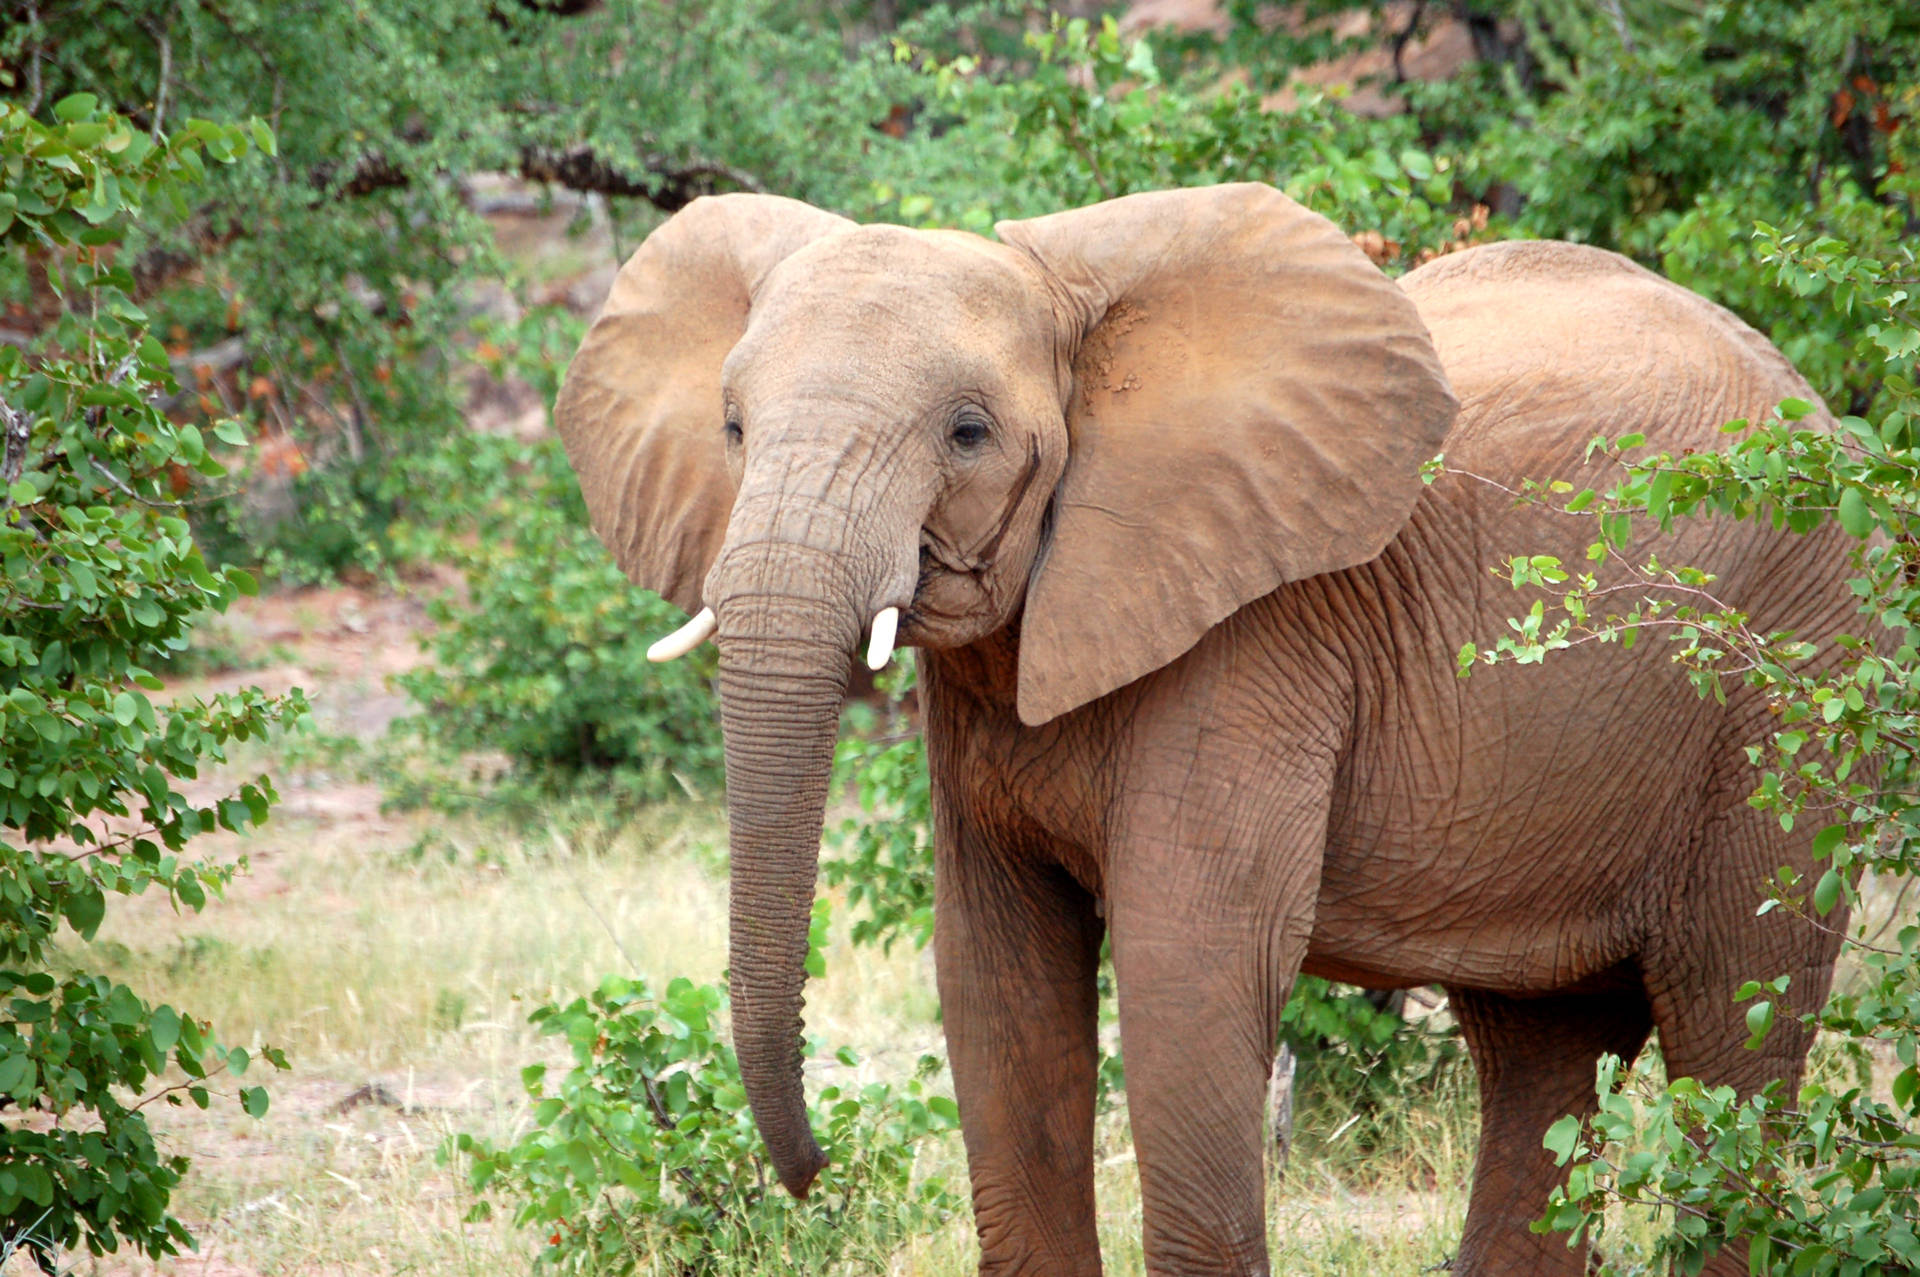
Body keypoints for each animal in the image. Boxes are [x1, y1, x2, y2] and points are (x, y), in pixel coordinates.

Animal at [556, 181, 1858, 1275]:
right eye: (731, 427)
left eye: (968, 432)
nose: (812, 1171)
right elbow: (996, 974)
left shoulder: (1257, 645)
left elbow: (1190, 964)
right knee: (1544, 1053)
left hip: (1791, 688)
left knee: (1734, 1018)